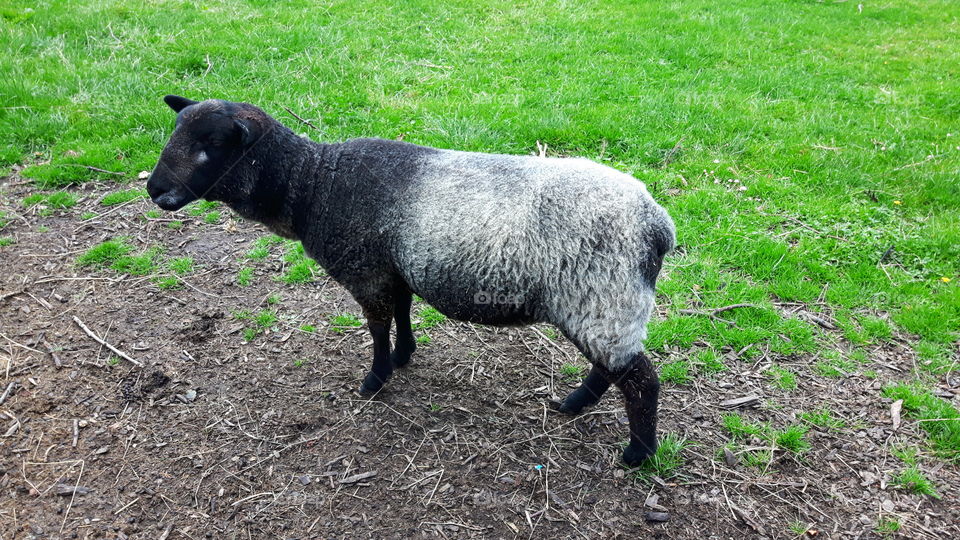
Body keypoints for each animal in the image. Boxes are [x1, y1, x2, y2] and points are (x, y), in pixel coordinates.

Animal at [147, 95, 676, 465]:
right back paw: (575, 403)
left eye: (211, 146)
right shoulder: (391, 270)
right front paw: (404, 356)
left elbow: (377, 328)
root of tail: (657, 225)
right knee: (613, 367)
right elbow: (402, 313)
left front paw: (375, 380)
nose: (153, 190)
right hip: (603, 304)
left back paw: (638, 454)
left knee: (640, 380)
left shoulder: (366, 272)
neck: (312, 185)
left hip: (601, 297)